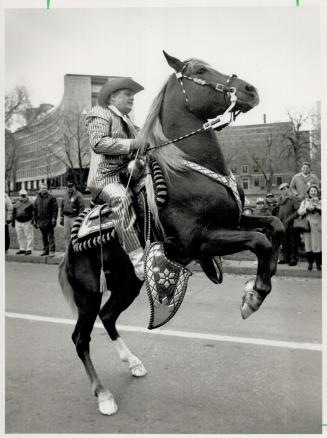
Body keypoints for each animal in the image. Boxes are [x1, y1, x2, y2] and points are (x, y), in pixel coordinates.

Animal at [59, 50, 284, 414]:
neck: (187, 169)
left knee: (108, 317)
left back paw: (134, 363)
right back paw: (104, 395)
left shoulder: (233, 221)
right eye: (201, 70)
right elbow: (259, 241)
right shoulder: (200, 242)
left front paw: (257, 285)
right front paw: (253, 296)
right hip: (88, 294)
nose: (250, 90)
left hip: (127, 285)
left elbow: (274, 227)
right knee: (81, 337)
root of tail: (69, 247)